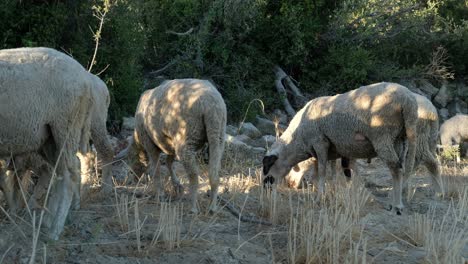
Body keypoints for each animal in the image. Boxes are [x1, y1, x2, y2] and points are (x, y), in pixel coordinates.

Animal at [0, 47, 94, 239]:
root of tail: (85, 77)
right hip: (49, 139)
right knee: (60, 174)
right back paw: (48, 221)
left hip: (65, 126)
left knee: (70, 177)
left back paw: (54, 231)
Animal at [116, 78, 228, 212]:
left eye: (131, 159)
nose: (132, 181)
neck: (138, 138)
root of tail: (210, 105)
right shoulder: (170, 144)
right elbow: (169, 162)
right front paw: (177, 185)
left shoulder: (150, 143)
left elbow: (156, 169)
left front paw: (160, 194)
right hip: (217, 134)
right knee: (214, 173)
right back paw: (212, 207)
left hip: (186, 137)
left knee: (194, 175)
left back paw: (193, 207)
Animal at [262, 82, 418, 214]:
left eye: (267, 166)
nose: (265, 187)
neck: (298, 139)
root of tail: (408, 101)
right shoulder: (332, 150)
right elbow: (331, 172)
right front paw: (333, 193)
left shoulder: (320, 142)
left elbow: (323, 172)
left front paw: (320, 197)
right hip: (400, 139)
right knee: (401, 167)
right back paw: (393, 202)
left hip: (382, 136)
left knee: (396, 169)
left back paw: (397, 206)